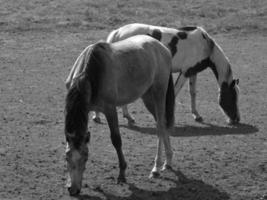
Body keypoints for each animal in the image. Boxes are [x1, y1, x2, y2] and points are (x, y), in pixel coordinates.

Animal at [64, 34, 176, 195]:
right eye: (67, 157)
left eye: (85, 158)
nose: (73, 189)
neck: (92, 73)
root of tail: (162, 48)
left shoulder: (110, 110)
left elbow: (116, 140)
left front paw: (122, 174)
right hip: (148, 97)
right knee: (163, 124)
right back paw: (168, 161)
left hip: (158, 93)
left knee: (160, 127)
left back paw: (156, 168)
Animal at [92, 23, 241, 125]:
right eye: (233, 97)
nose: (236, 119)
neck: (205, 46)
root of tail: (117, 32)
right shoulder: (185, 72)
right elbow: (175, 92)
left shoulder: (192, 72)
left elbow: (193, 93)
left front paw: (196, 115)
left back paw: (119, 116)